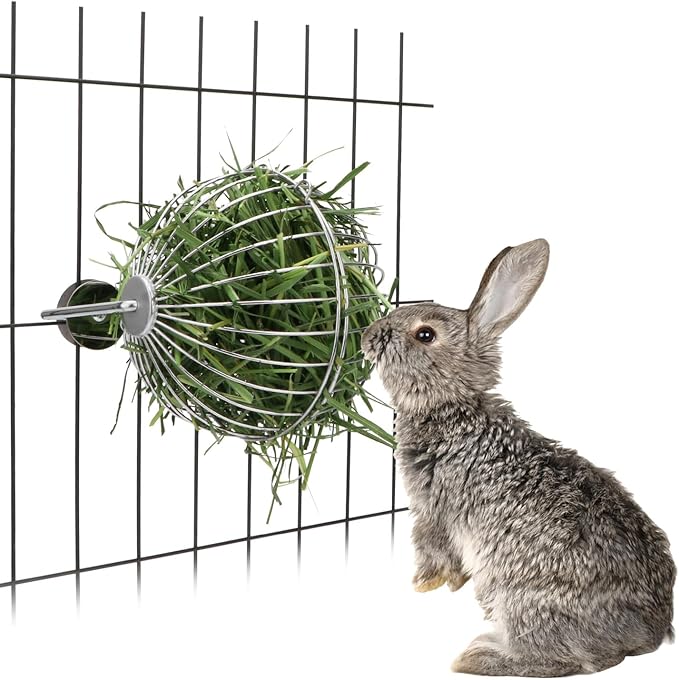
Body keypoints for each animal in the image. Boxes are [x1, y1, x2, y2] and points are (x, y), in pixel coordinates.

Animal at [361, 239, 675, 676]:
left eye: (425, 334)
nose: (367, 335)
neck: (454, 408)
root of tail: (648, 633)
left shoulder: (434, 507)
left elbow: (431, 549)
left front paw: (424, 584)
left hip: (520, 595)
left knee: (570, 659)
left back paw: (479, 657)